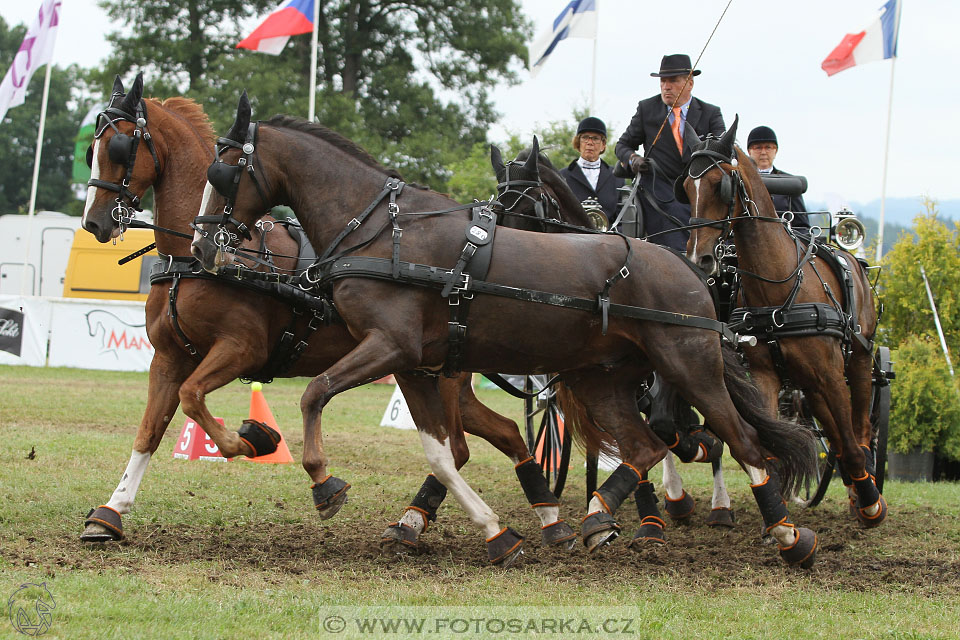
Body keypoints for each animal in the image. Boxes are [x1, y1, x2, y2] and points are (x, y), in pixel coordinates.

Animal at [79, 74, 572, 564]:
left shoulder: (241, 350)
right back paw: (539, 518)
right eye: (92, 150)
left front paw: (259, 440)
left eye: (119, 147)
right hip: (431, 374)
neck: (189, 262)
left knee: (462, 445)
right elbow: (149, 431)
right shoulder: (168, 357)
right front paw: (110, 512)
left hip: (440, 375)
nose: (95, 222)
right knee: (504, 432)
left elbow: (192, 398)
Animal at [191, 94, 820, 564]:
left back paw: (786, 534)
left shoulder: (389, 346)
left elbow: (317, 393)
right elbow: (442, 454)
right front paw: (495, 532)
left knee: (738, 441)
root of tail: (687, 264)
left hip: (690, 366)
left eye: (225, 170)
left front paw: (322, 482)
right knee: (646, 444)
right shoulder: (415, 365)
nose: (200, 245)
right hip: (602, 379)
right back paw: (597, 518)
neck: (382, 231)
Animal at [684, 117, 884, 528]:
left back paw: (865, 495)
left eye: (720, 184)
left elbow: (850, 442)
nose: (699, 259)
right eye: (685, 186)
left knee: (858, 430)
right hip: (809, 382)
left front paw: (870, 501)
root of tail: (855, 261)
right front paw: (778, 513)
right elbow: (774, 444)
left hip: (857, 361)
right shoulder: (766, 375)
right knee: (835, 432)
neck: (777, 284)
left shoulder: (831, 375)